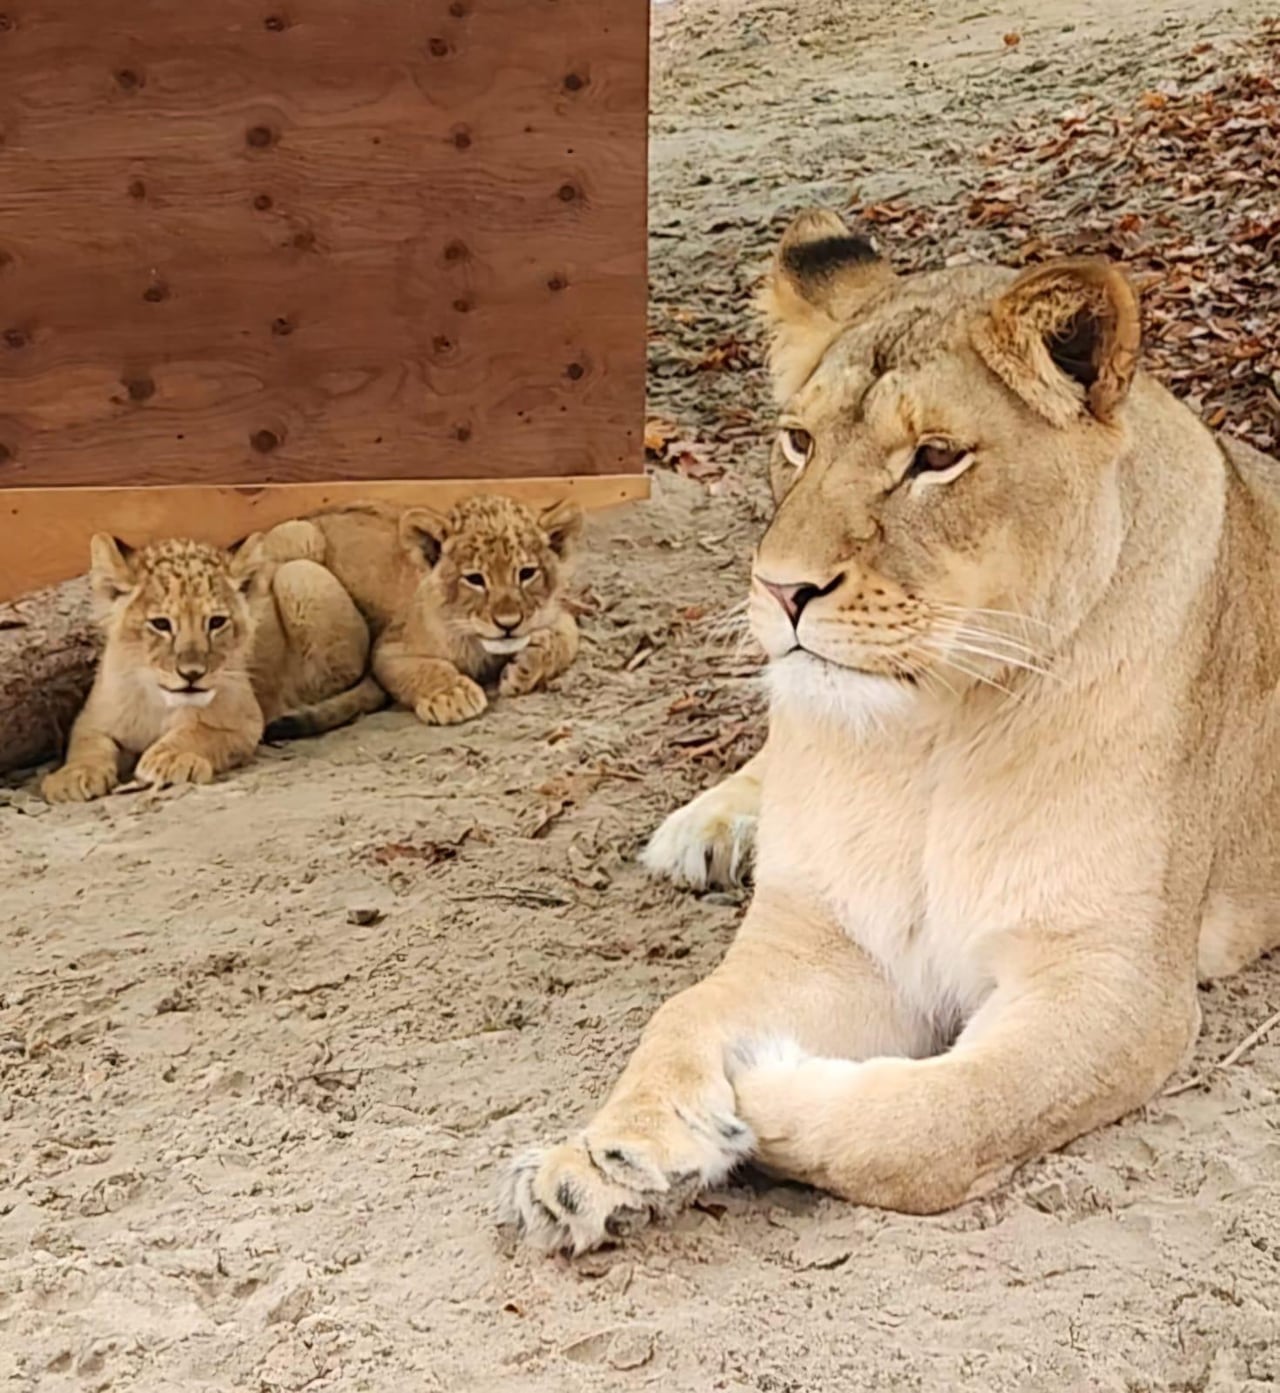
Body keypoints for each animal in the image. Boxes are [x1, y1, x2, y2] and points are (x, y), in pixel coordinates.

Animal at [42, 535, 380, 802]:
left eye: (216, 622)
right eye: (161, 624)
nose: (192, 674)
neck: (160, 701)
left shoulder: (245, 723)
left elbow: (200, 732)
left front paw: (171, 758)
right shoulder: (92, 720)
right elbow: (88, 745)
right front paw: (72, 777)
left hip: (299, 574)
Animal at [260, 494, 583, 730]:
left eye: (527, 573)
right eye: (475, 579)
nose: (508, 624)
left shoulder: (555, 612)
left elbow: (568, 636)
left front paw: (526, 666)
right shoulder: (388, 649)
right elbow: (424, 668)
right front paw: (451, 695)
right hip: (302, 541)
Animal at [498, 208, 1280, 1255]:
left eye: (936, 458)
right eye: (797, 441)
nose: (780, 589)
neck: (930, 738)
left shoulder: (1115, 979)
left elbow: (937, 1119)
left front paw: (759, 1088)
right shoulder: (829, 935)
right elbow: (681, 1012)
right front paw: (606, 1156)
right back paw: (708, 827)